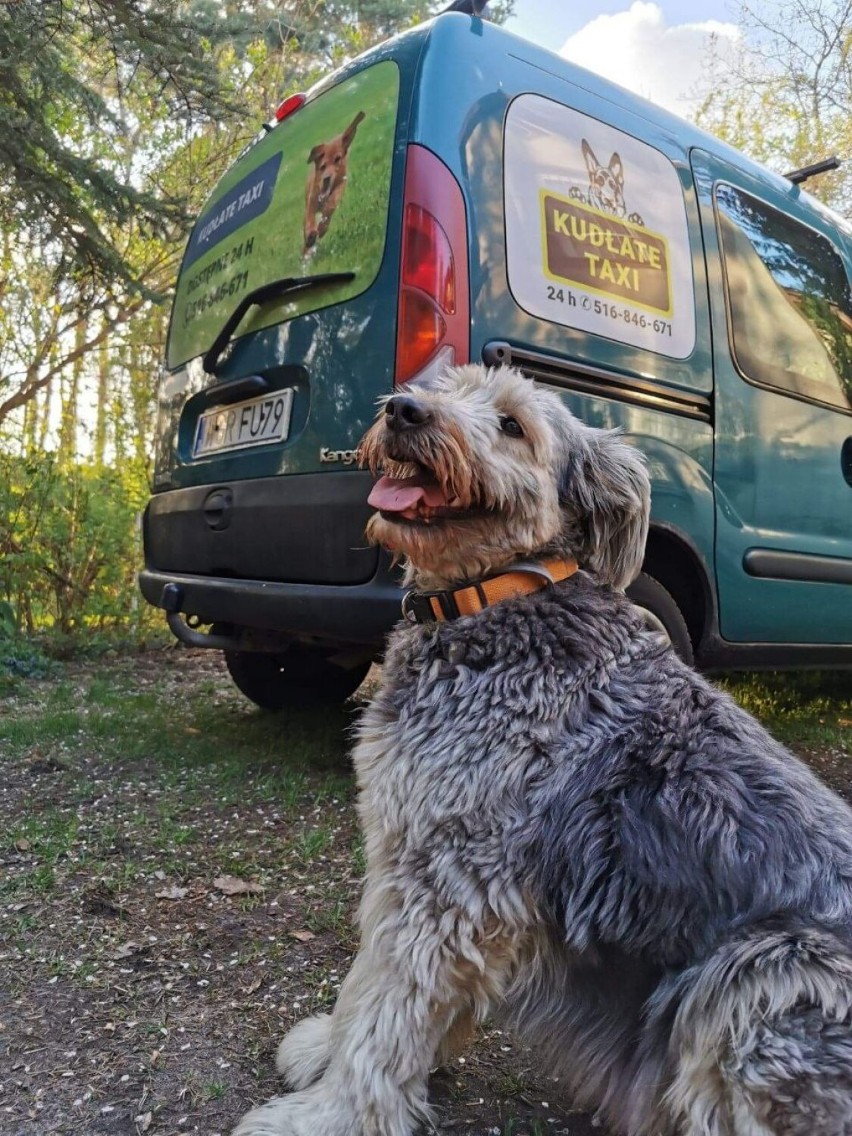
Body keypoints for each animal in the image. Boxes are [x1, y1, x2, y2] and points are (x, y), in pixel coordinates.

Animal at [234, 365, 852, 1136]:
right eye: (444, 385)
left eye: (512, 425)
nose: (405, 410)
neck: (492, 599)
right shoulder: (420, 863)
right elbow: (376, 987)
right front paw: (334, 1051)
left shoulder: (449, 879)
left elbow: (386, 1009)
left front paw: (330, 1115)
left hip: (759, 970)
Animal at [304, 109, 363, 254]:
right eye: (322, 166)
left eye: (337, 159)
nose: (327, 179)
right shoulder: (310, 203)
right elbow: (309, 220)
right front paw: (310, 235)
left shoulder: (339, 189)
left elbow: (329, 209)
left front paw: (321, 228)